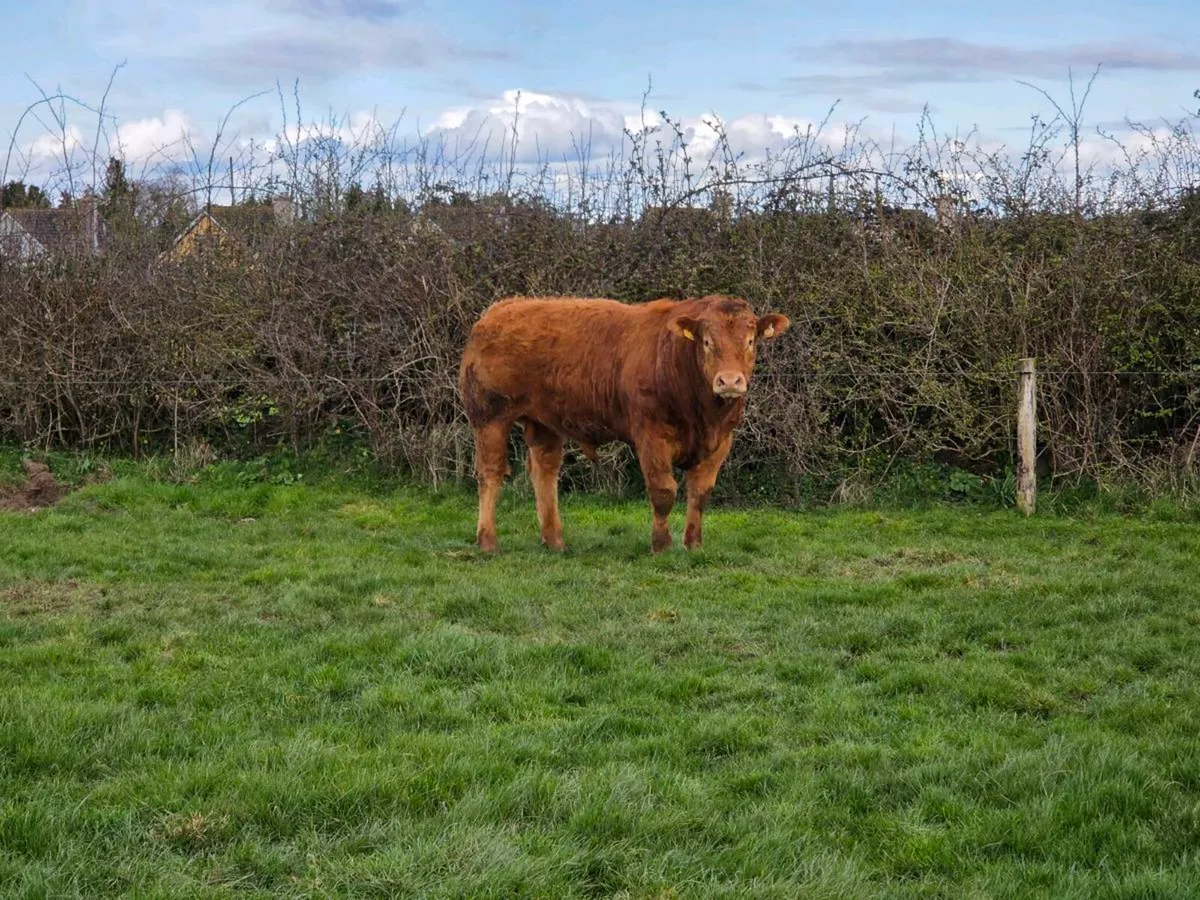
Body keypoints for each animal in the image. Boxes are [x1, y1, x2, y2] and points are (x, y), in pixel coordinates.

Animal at [458, 294, 790, 553]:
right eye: (707, 342)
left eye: (750, 342)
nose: (730, 381)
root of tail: (497, 311)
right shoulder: (651, 435)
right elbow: (663, 491)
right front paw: (661, 546)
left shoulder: (721, 441)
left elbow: (700, 493)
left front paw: (693, 544)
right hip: (489, 417)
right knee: (490, 473)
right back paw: (487, 541)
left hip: (545, 422)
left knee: (544, 471)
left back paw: (554, 540)